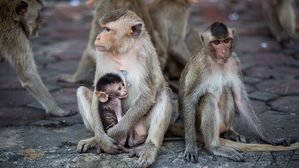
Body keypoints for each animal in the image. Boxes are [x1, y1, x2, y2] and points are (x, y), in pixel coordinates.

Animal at [76, 9, 172, 168]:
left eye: (108, 29)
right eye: (103, 28)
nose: (98, 37)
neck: (124, 49)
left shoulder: (146, 53)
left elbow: (147, 95)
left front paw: (112, 134)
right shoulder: (101, 53)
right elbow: (97, 92)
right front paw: (101, 138)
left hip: (140, 129)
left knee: (165, 92)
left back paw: (150, 148)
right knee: (81, 91)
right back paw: (95, 140)